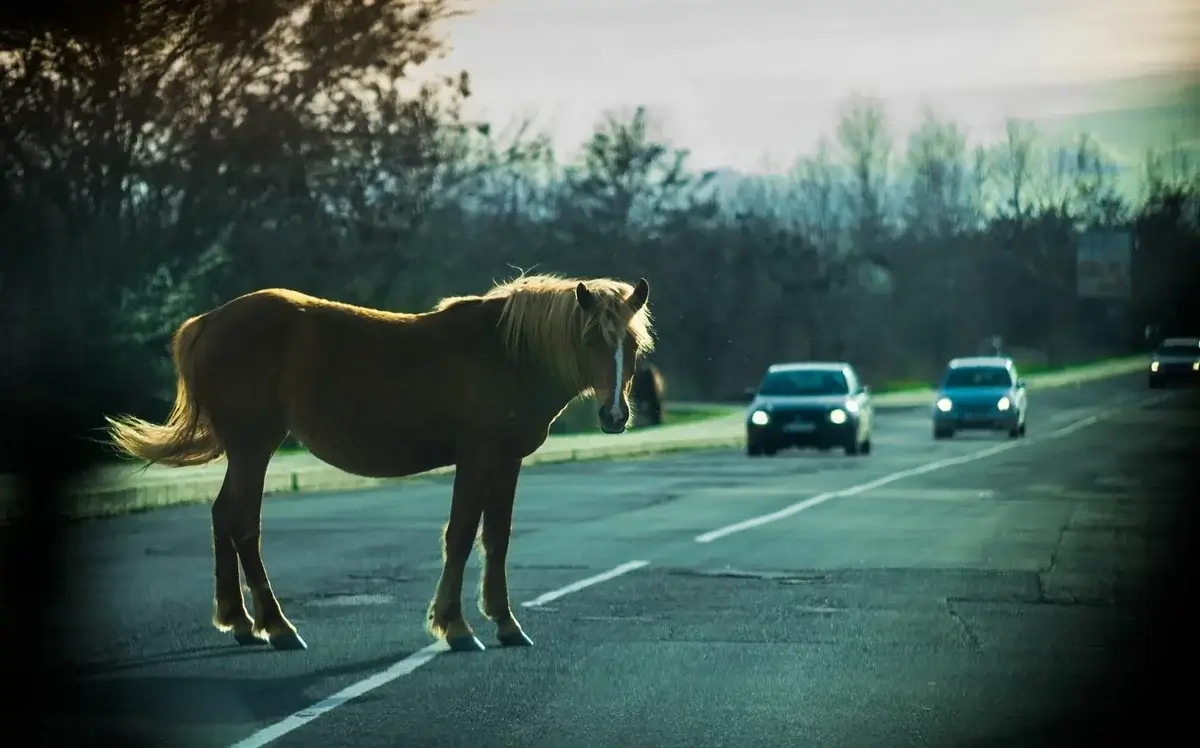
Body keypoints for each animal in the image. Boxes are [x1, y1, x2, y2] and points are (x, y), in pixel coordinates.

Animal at [103, 272, 657, 653]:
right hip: (254, 446)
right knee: (242, 524)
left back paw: (240, 622)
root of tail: (210, 321)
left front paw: (504, 622)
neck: (506, 354)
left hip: (246, 450)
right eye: (590, 339)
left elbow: (495, 538)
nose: (614, 416)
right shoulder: (477, 458)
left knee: (223, 517)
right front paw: (455, 626)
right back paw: (277, 627)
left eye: (631, 344)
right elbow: (461, 535)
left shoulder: (506, 462)